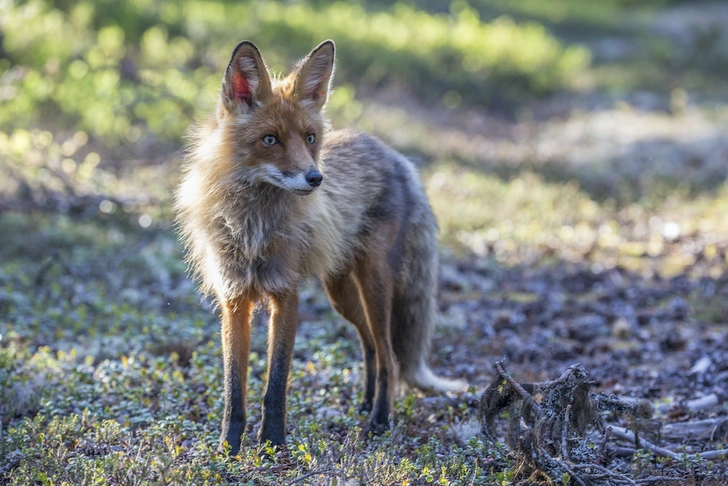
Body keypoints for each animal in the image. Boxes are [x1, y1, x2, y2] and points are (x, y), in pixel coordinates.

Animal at [173, 39, 464, 454]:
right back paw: (365, 403)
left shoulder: (286, 295)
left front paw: (272, 444)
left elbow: (276, 383)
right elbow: (234, 389)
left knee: (390, 356)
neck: (254, 224)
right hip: (340, 293)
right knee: (370, 345)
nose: (315, 178)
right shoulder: (234, 299)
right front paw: (228, 449)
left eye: (310, 138)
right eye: (270, 139)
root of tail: (397, 157)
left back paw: (379, 421)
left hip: (374, 284)